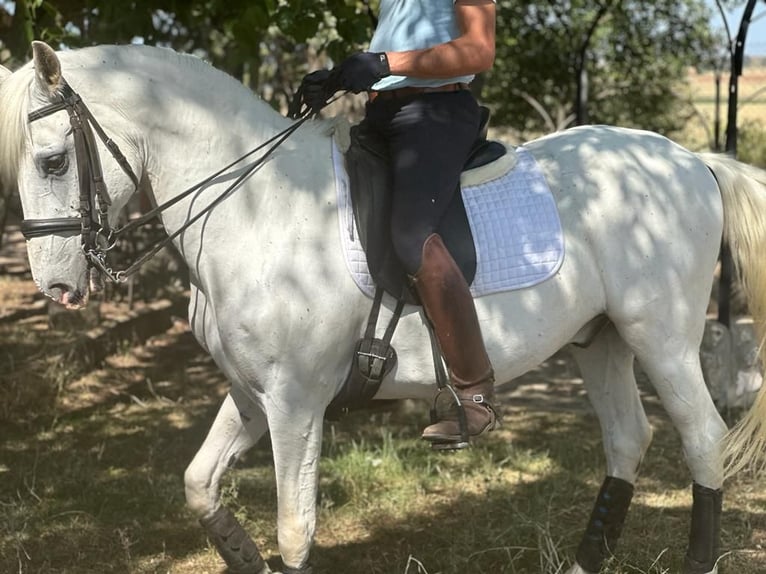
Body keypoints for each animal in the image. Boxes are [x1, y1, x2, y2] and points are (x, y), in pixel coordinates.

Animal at [1, 41, 766, 574]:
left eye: (51, 162)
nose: (57, 289)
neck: (255, 206)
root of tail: (693, 160)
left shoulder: (295, 404)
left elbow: (296, 530)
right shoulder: (251, 395)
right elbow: (199, 485)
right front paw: (240, 555)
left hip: (660, 336)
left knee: (702, 438)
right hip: (599, 338)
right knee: (626, 439)